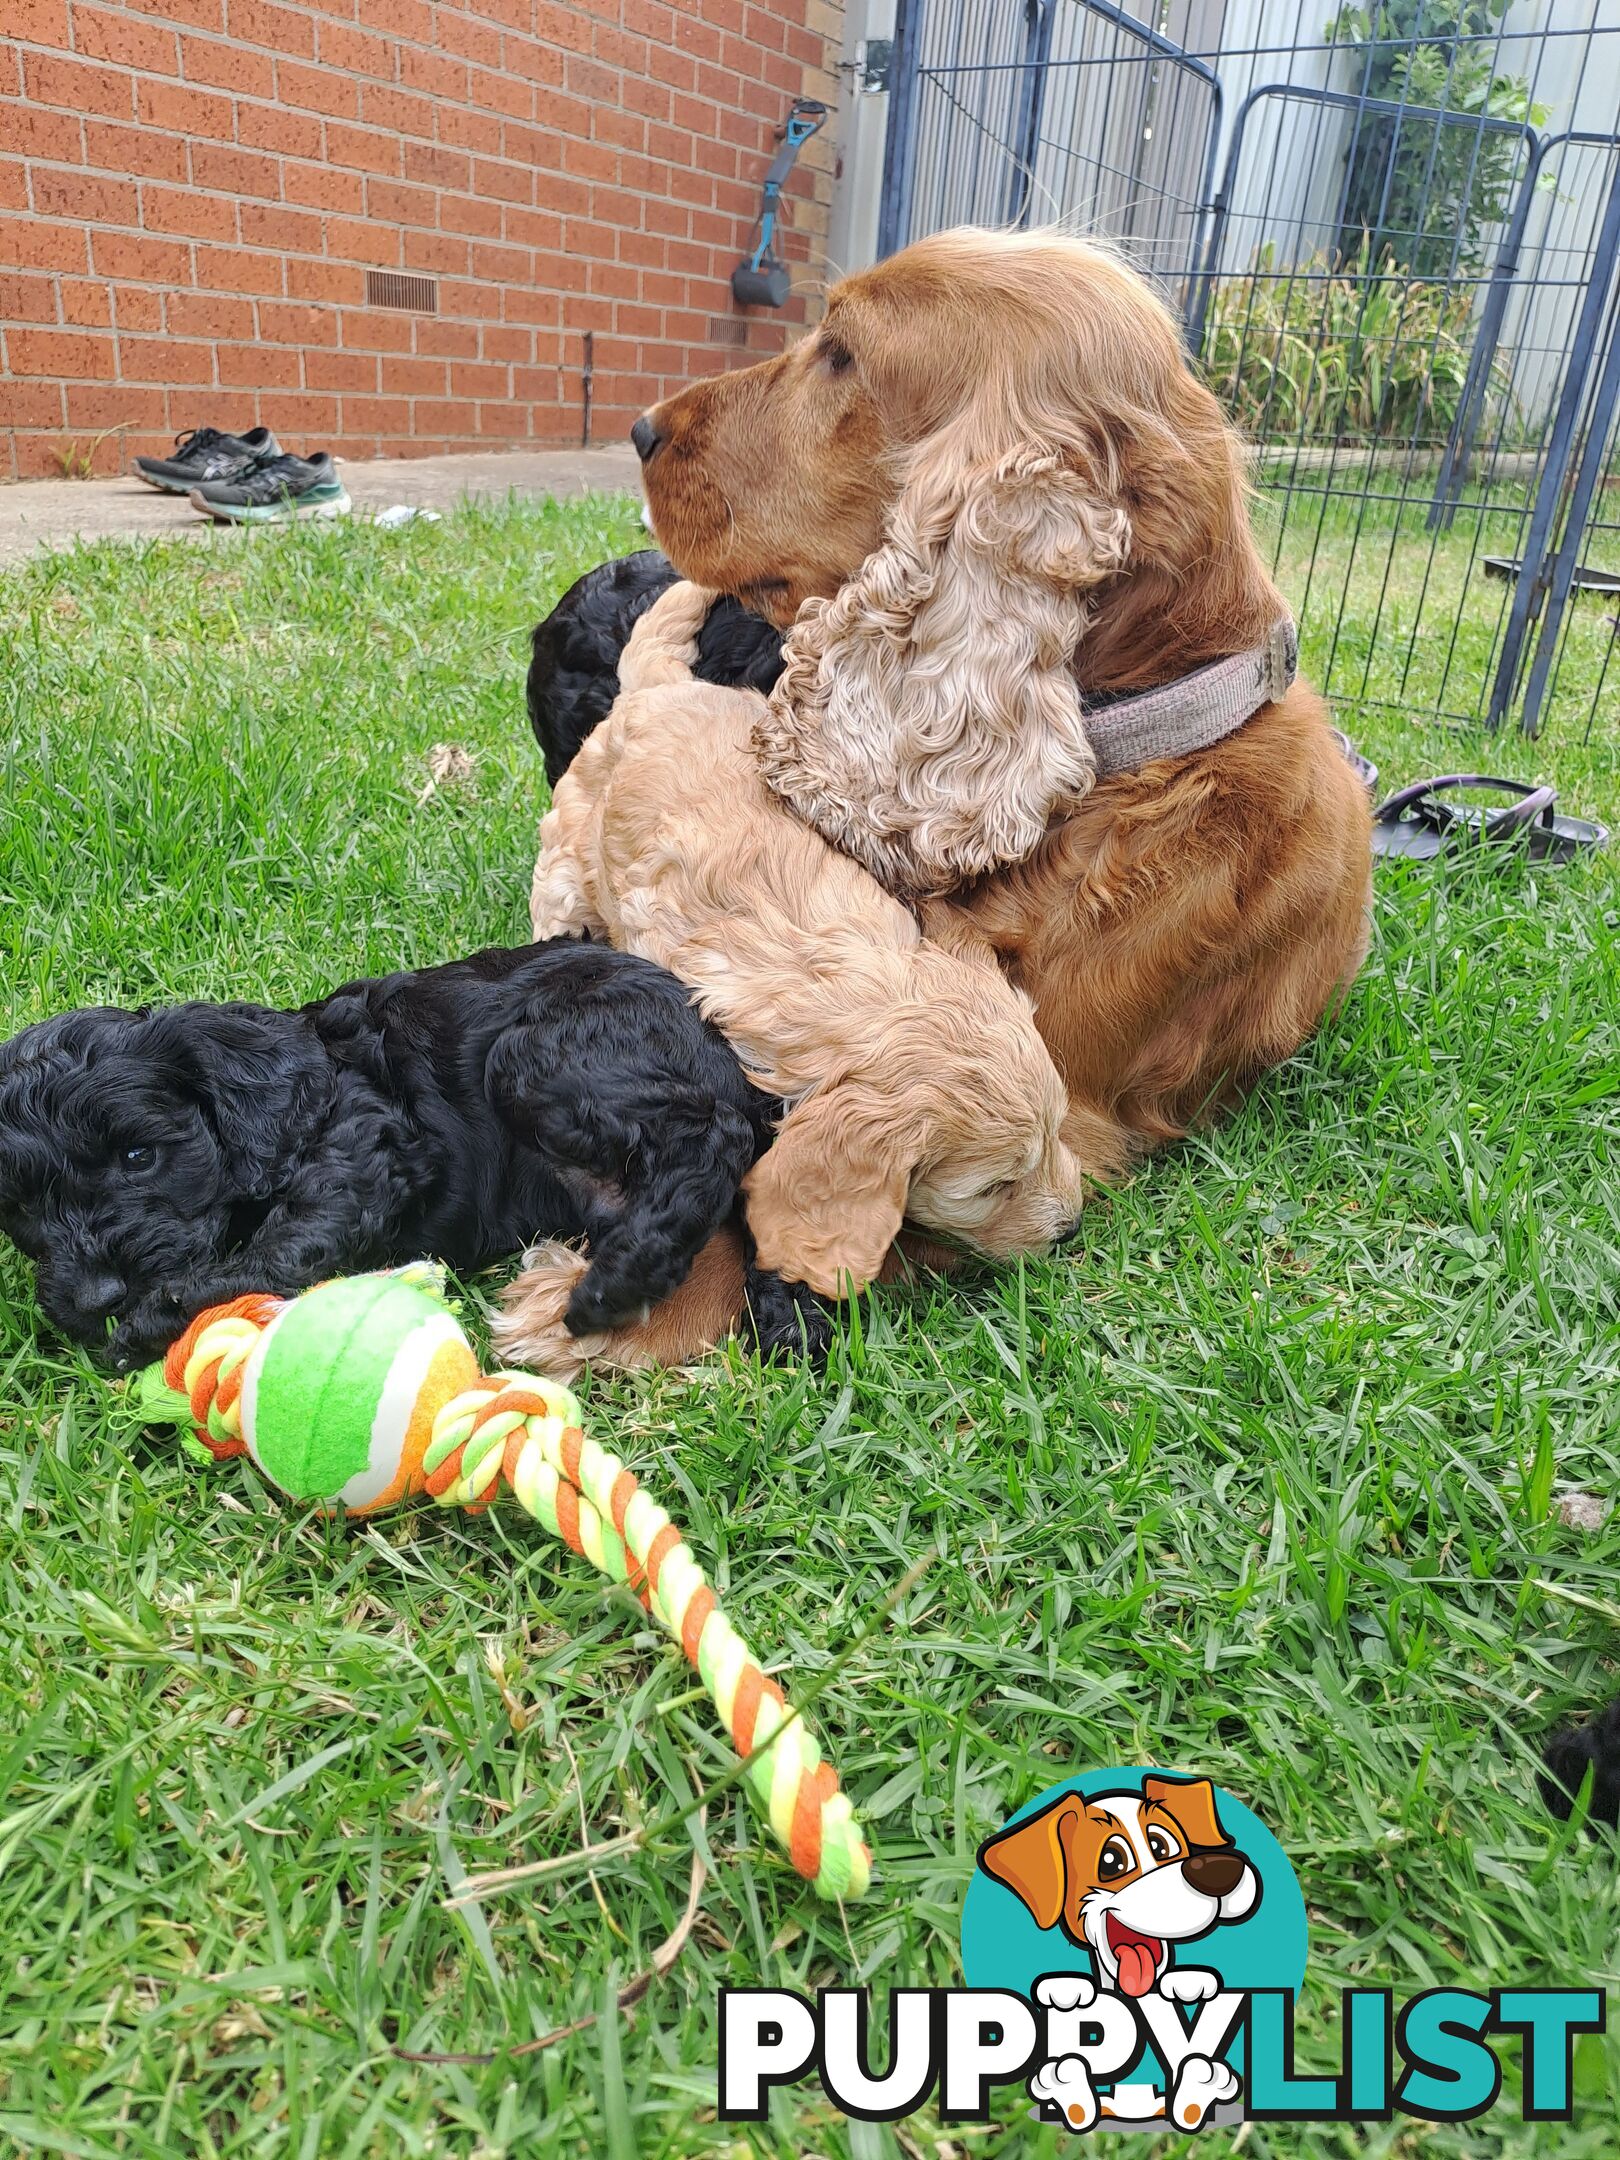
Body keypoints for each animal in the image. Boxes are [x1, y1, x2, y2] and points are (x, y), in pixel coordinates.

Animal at [0, 941, 829, 1365]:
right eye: (21, 1210)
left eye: (140, 1156)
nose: (93, 1301)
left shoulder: (368, 1146)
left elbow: (286, 1246)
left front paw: (156, 1318)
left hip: (545, 1057)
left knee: (712, 1144)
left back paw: (619, 1280)